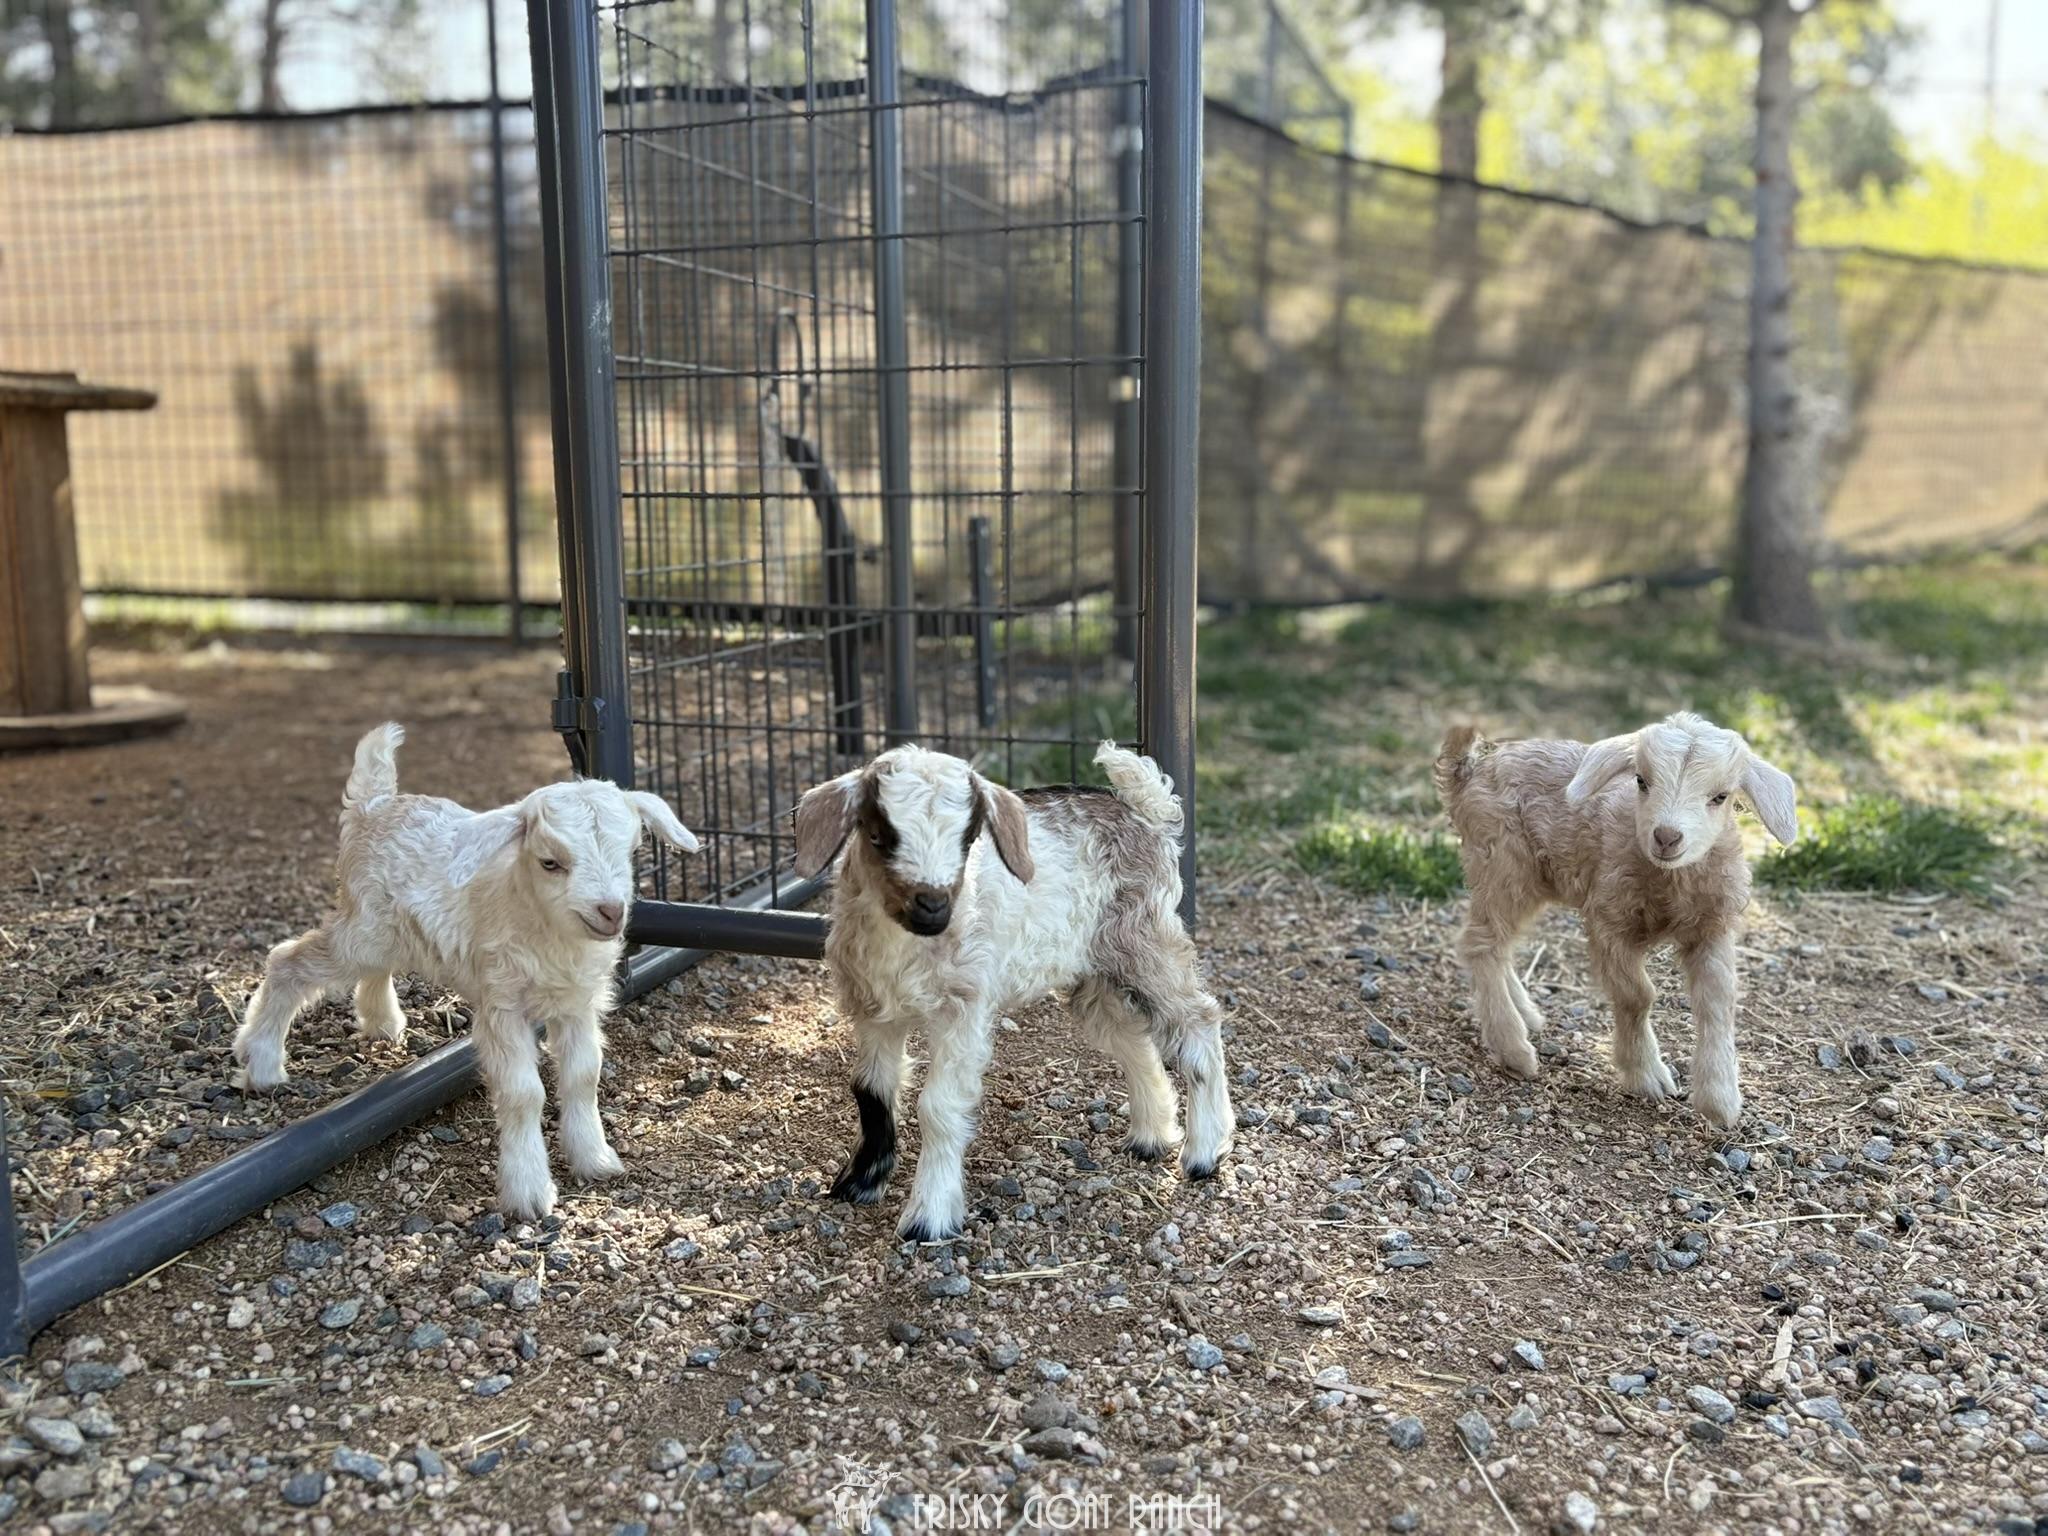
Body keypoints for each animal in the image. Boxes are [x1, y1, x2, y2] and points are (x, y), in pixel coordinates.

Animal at [231, 723, 698, 1219]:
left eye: (632, 852)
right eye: (550, 862)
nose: (610, 912)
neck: (540, 923)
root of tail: (374, 805)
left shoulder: (576, 1004)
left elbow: (583, 1077)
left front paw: (595, 1159)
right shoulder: (503, 1003)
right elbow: (524, 1094)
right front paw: (529, 1193)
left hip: (387, 932)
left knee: (372, 969)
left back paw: (381, 1022)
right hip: (362, 932)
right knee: (287, 960)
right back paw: (261, 1061)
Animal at [792, 742, 1232, 1241]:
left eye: (968, 838)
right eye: (879, 835)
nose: (933, 906)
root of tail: (1146, 809)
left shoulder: (965, 1008)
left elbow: (938, 1107)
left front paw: (928, 1216)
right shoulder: (873, 1007)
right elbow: (870, 1090)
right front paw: (860, 1181)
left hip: (1146, 942)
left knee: (1198, 1019)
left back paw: (1203, 1154)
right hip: (1094, 972)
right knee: (1130, 1038)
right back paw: (1151, 1136)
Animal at [1434, 712, 1798, 1128]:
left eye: (1721, 797)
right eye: (1641, 781)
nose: (1666, 837)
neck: (1668, 883)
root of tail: (1468, 769)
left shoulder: (1711, 927)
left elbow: (1717, 1001)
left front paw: (1720, 1101)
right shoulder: (1609, 919)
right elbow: (1636, 995)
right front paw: (1646, 1076)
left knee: (1498, 944)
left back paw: (1526, 1015)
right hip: (1502, 862)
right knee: (1480, 943)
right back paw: (1513, 1048)